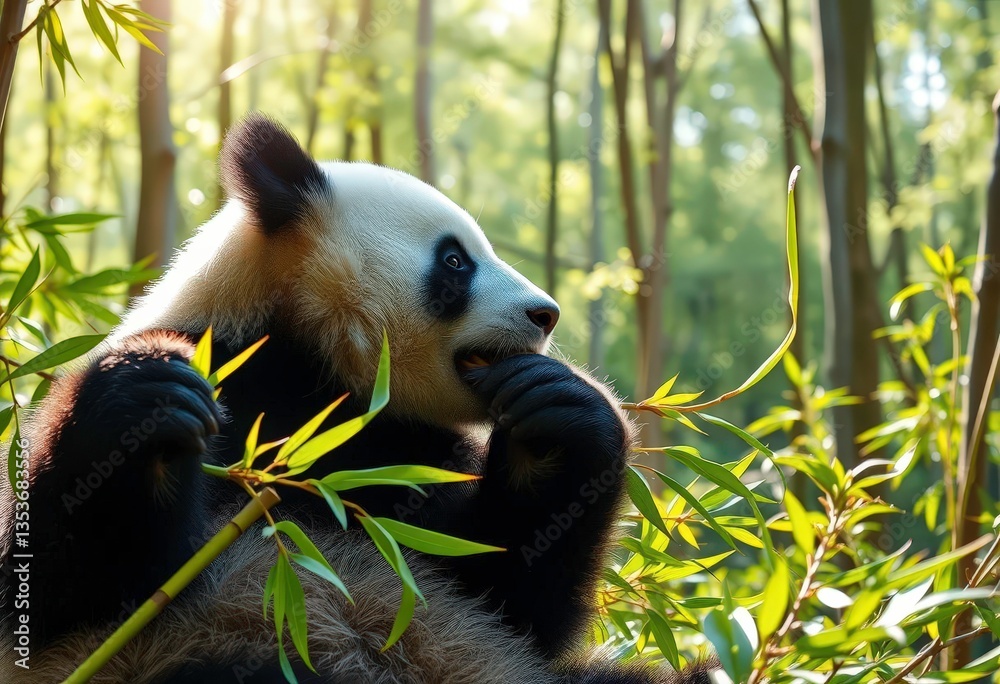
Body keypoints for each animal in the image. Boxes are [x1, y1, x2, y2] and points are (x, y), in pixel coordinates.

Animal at [0, 115, 715, 683]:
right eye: (455, 261)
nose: (546, 314)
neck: (318, 375)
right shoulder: (234, 373)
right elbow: (60, 585)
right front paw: (147, 403)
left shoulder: (412, 458)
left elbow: (510, 591)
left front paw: (556, 418)